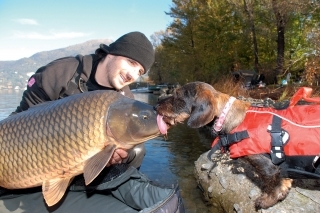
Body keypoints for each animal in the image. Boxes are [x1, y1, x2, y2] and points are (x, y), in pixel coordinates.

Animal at [156, 81, 320, 210]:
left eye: (178, 96)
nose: (155, 106)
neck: (229, 118)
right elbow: (285, 181)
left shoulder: (268, 166)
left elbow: (272, 185)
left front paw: (266, 201)